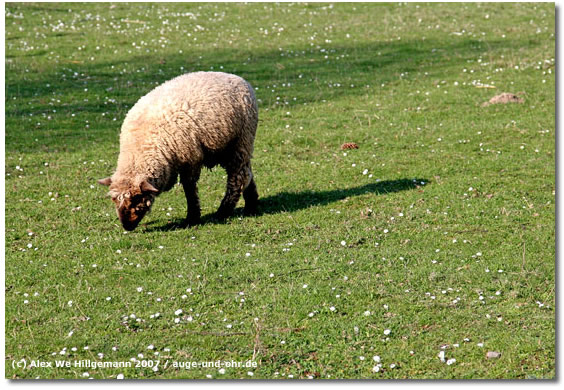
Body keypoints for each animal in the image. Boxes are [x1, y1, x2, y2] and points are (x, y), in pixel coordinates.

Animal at [98, 71, 260, 230]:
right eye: (113, 199)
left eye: (137, 198)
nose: (126, 226)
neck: (141, 146)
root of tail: (236, 78)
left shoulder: (190, 159)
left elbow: (189, 189)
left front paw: (192, 218)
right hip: (225, 148)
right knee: (247, 173)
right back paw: (251, 206)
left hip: (241, 140)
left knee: (238, 177)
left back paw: (223, 211)